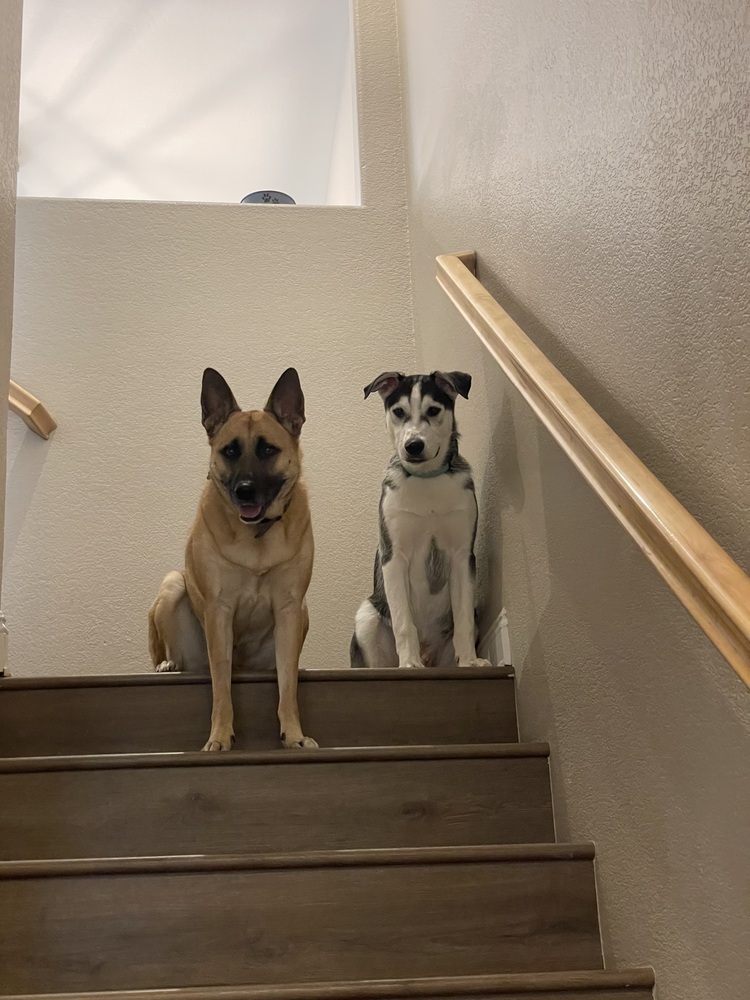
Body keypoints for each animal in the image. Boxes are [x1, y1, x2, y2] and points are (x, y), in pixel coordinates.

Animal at [150, 368, 318, 752]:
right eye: (230, 451)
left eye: (268, 449)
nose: (244, 490)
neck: (256, 536)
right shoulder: (219, 611)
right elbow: (221, 689)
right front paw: (219, 736)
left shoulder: (289, 609)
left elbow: (288, 688)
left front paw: (293, 734)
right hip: (172, 585)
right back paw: (168, 664)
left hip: (302, 613)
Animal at [352, 372, 494, 668]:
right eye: (398, 411)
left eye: (433, 410)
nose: (413, 446)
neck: (426, 479)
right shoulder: (394, 556)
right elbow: (404, 623)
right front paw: (409, 663)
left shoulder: (462, 555)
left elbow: (462, 619)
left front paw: (470, 661)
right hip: (367, 615)